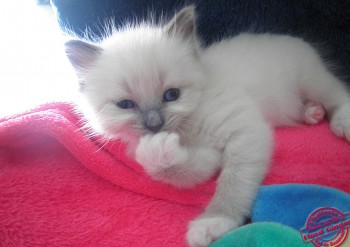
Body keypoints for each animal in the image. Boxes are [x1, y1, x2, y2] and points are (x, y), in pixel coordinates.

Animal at [65, 5, 350, 247]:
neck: (187, 131)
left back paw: (340, 121)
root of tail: (290, 38)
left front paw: (213, 223)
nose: (155, 125)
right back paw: (312, 113)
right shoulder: (207, 155)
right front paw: (157, 150)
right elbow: (174, 169)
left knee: (338, 93)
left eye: (172, 95)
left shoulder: (245, 132)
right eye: (126, 105)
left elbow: (232, 184)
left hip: (310, 79)